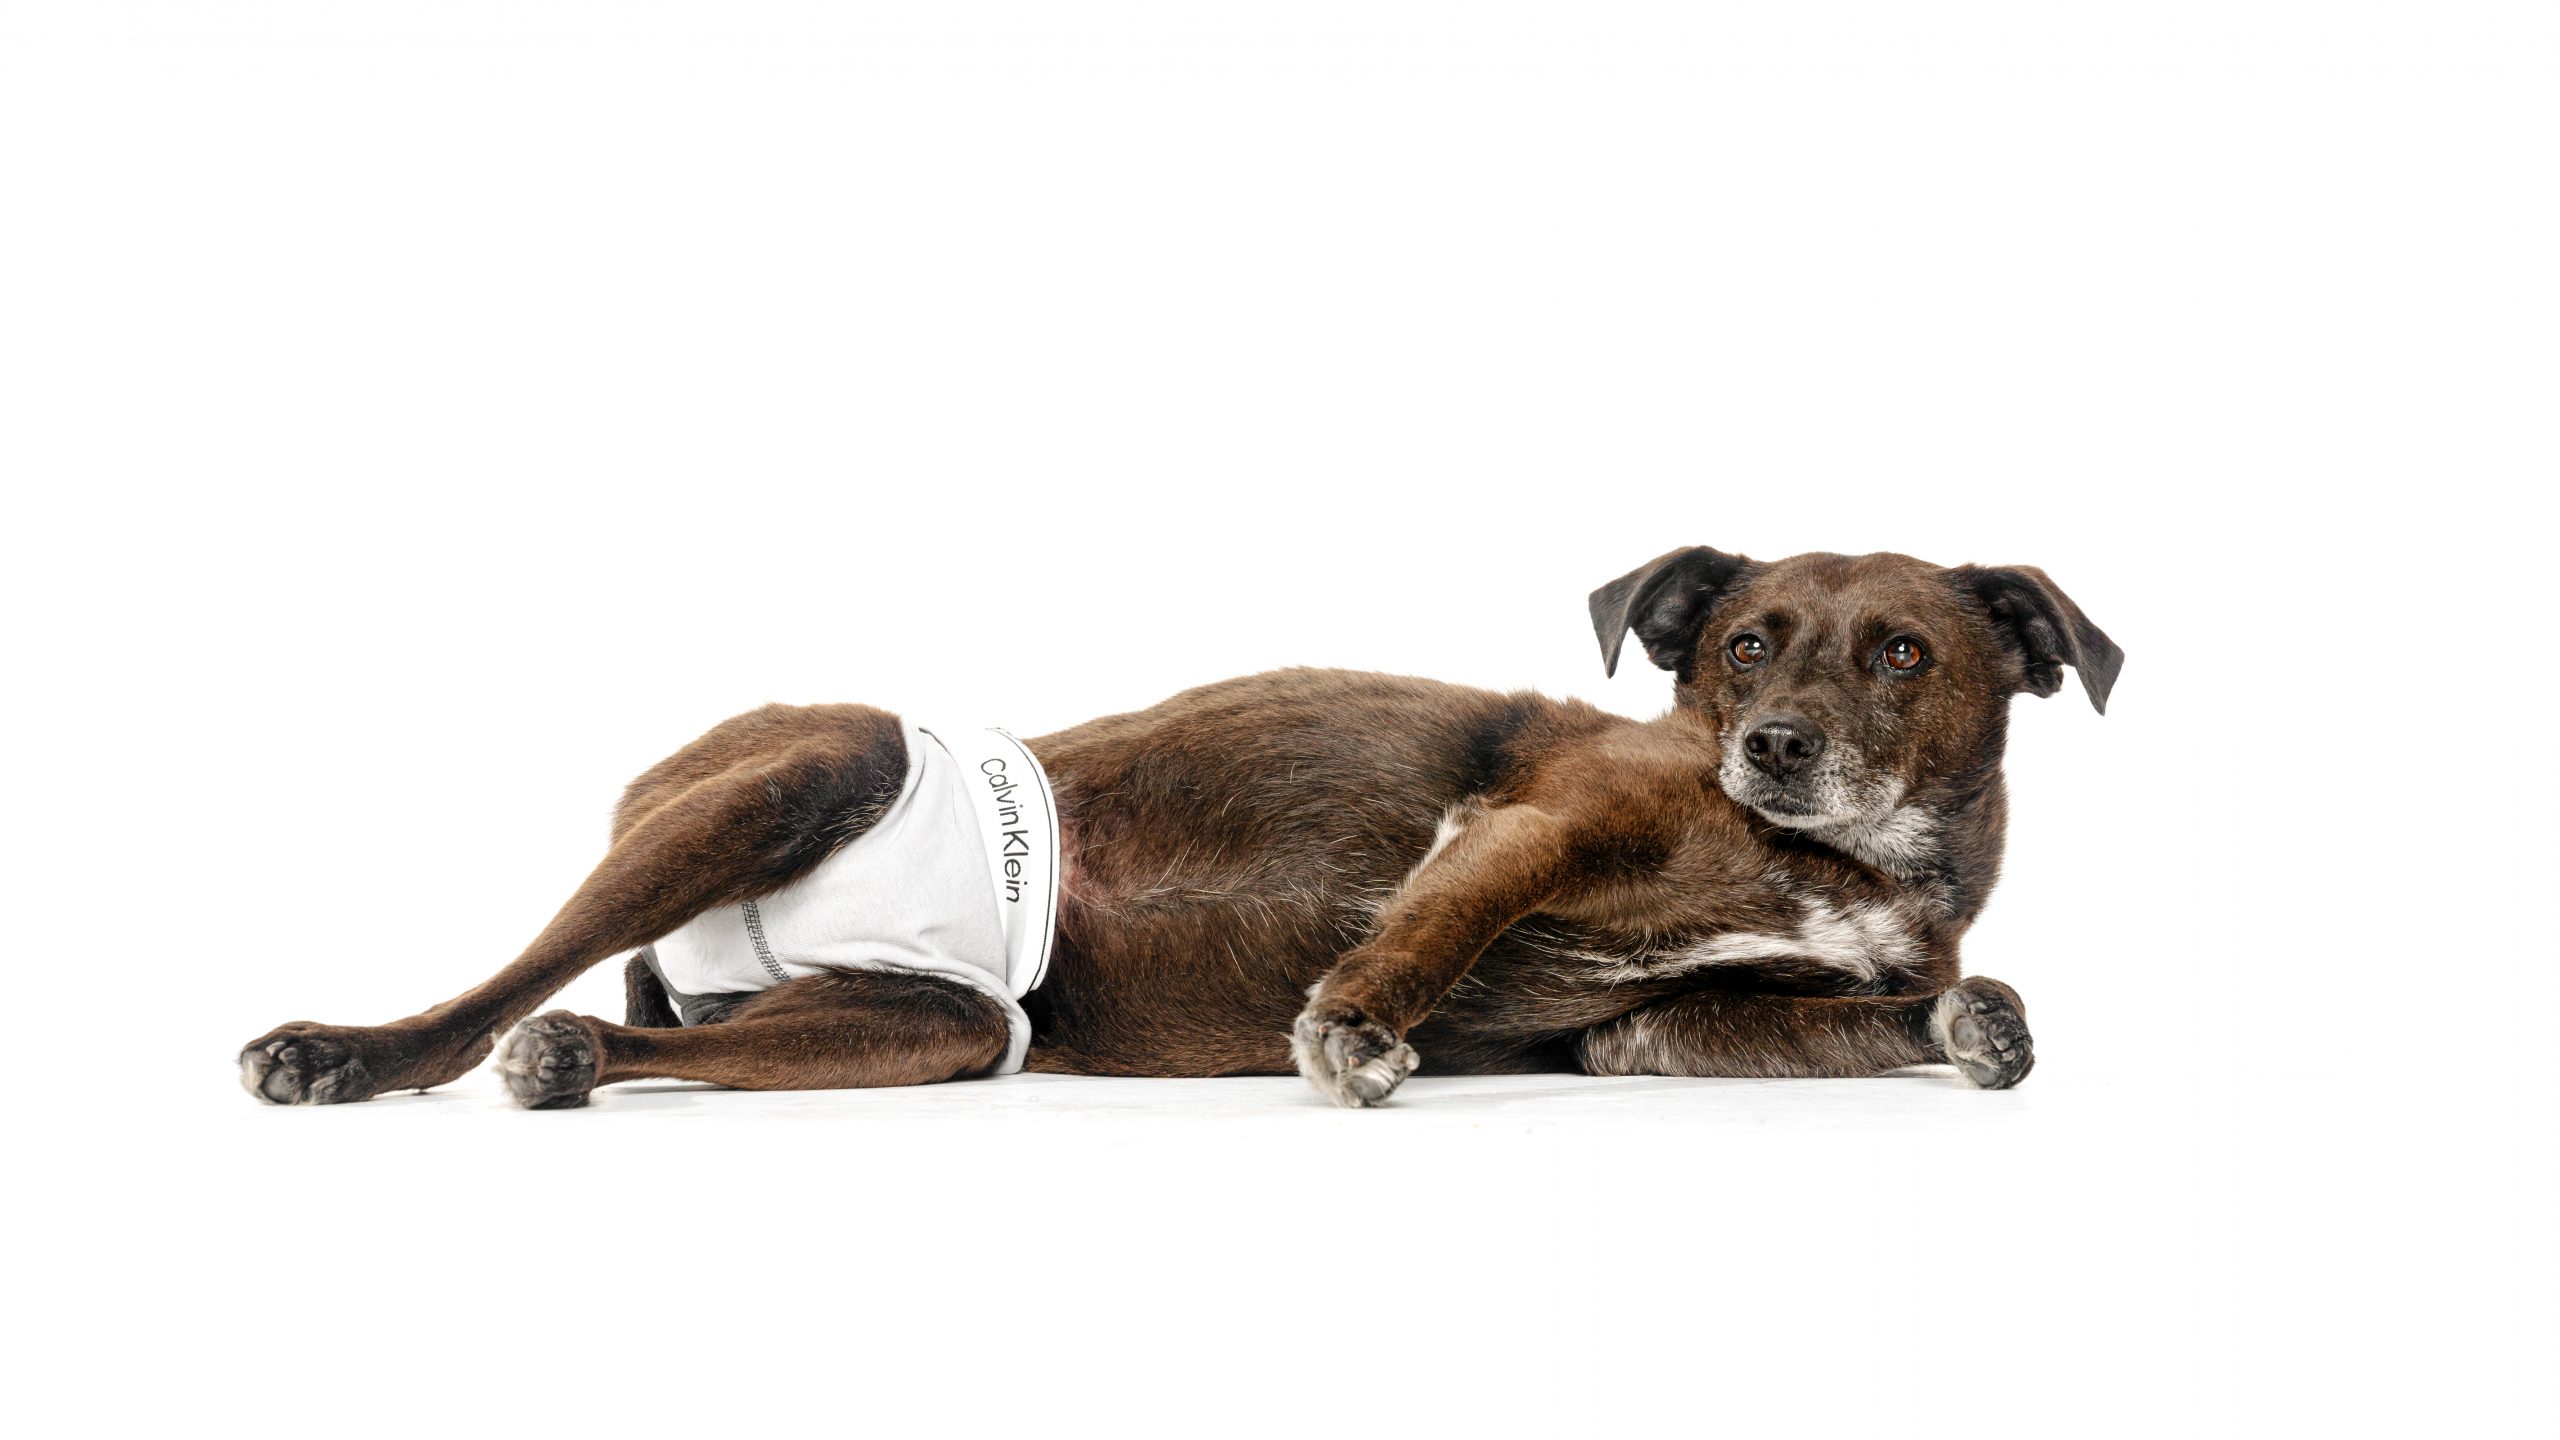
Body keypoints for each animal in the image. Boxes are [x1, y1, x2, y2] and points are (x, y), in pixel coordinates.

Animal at [235, 543, 2119, 1101]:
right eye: (1742, 647)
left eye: (1901, 652)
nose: (1775, 746)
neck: (1832, 858)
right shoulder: (1524, 831)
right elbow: (1435, 927)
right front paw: (1356, 1026)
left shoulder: (1647, 1036)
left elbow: (1922, 1008)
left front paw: (1974, 1021)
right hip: (810, 768)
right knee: (496, 984)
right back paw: (350, 1050)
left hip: (936, 1021)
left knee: (649, 1038)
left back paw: (578, 1060)